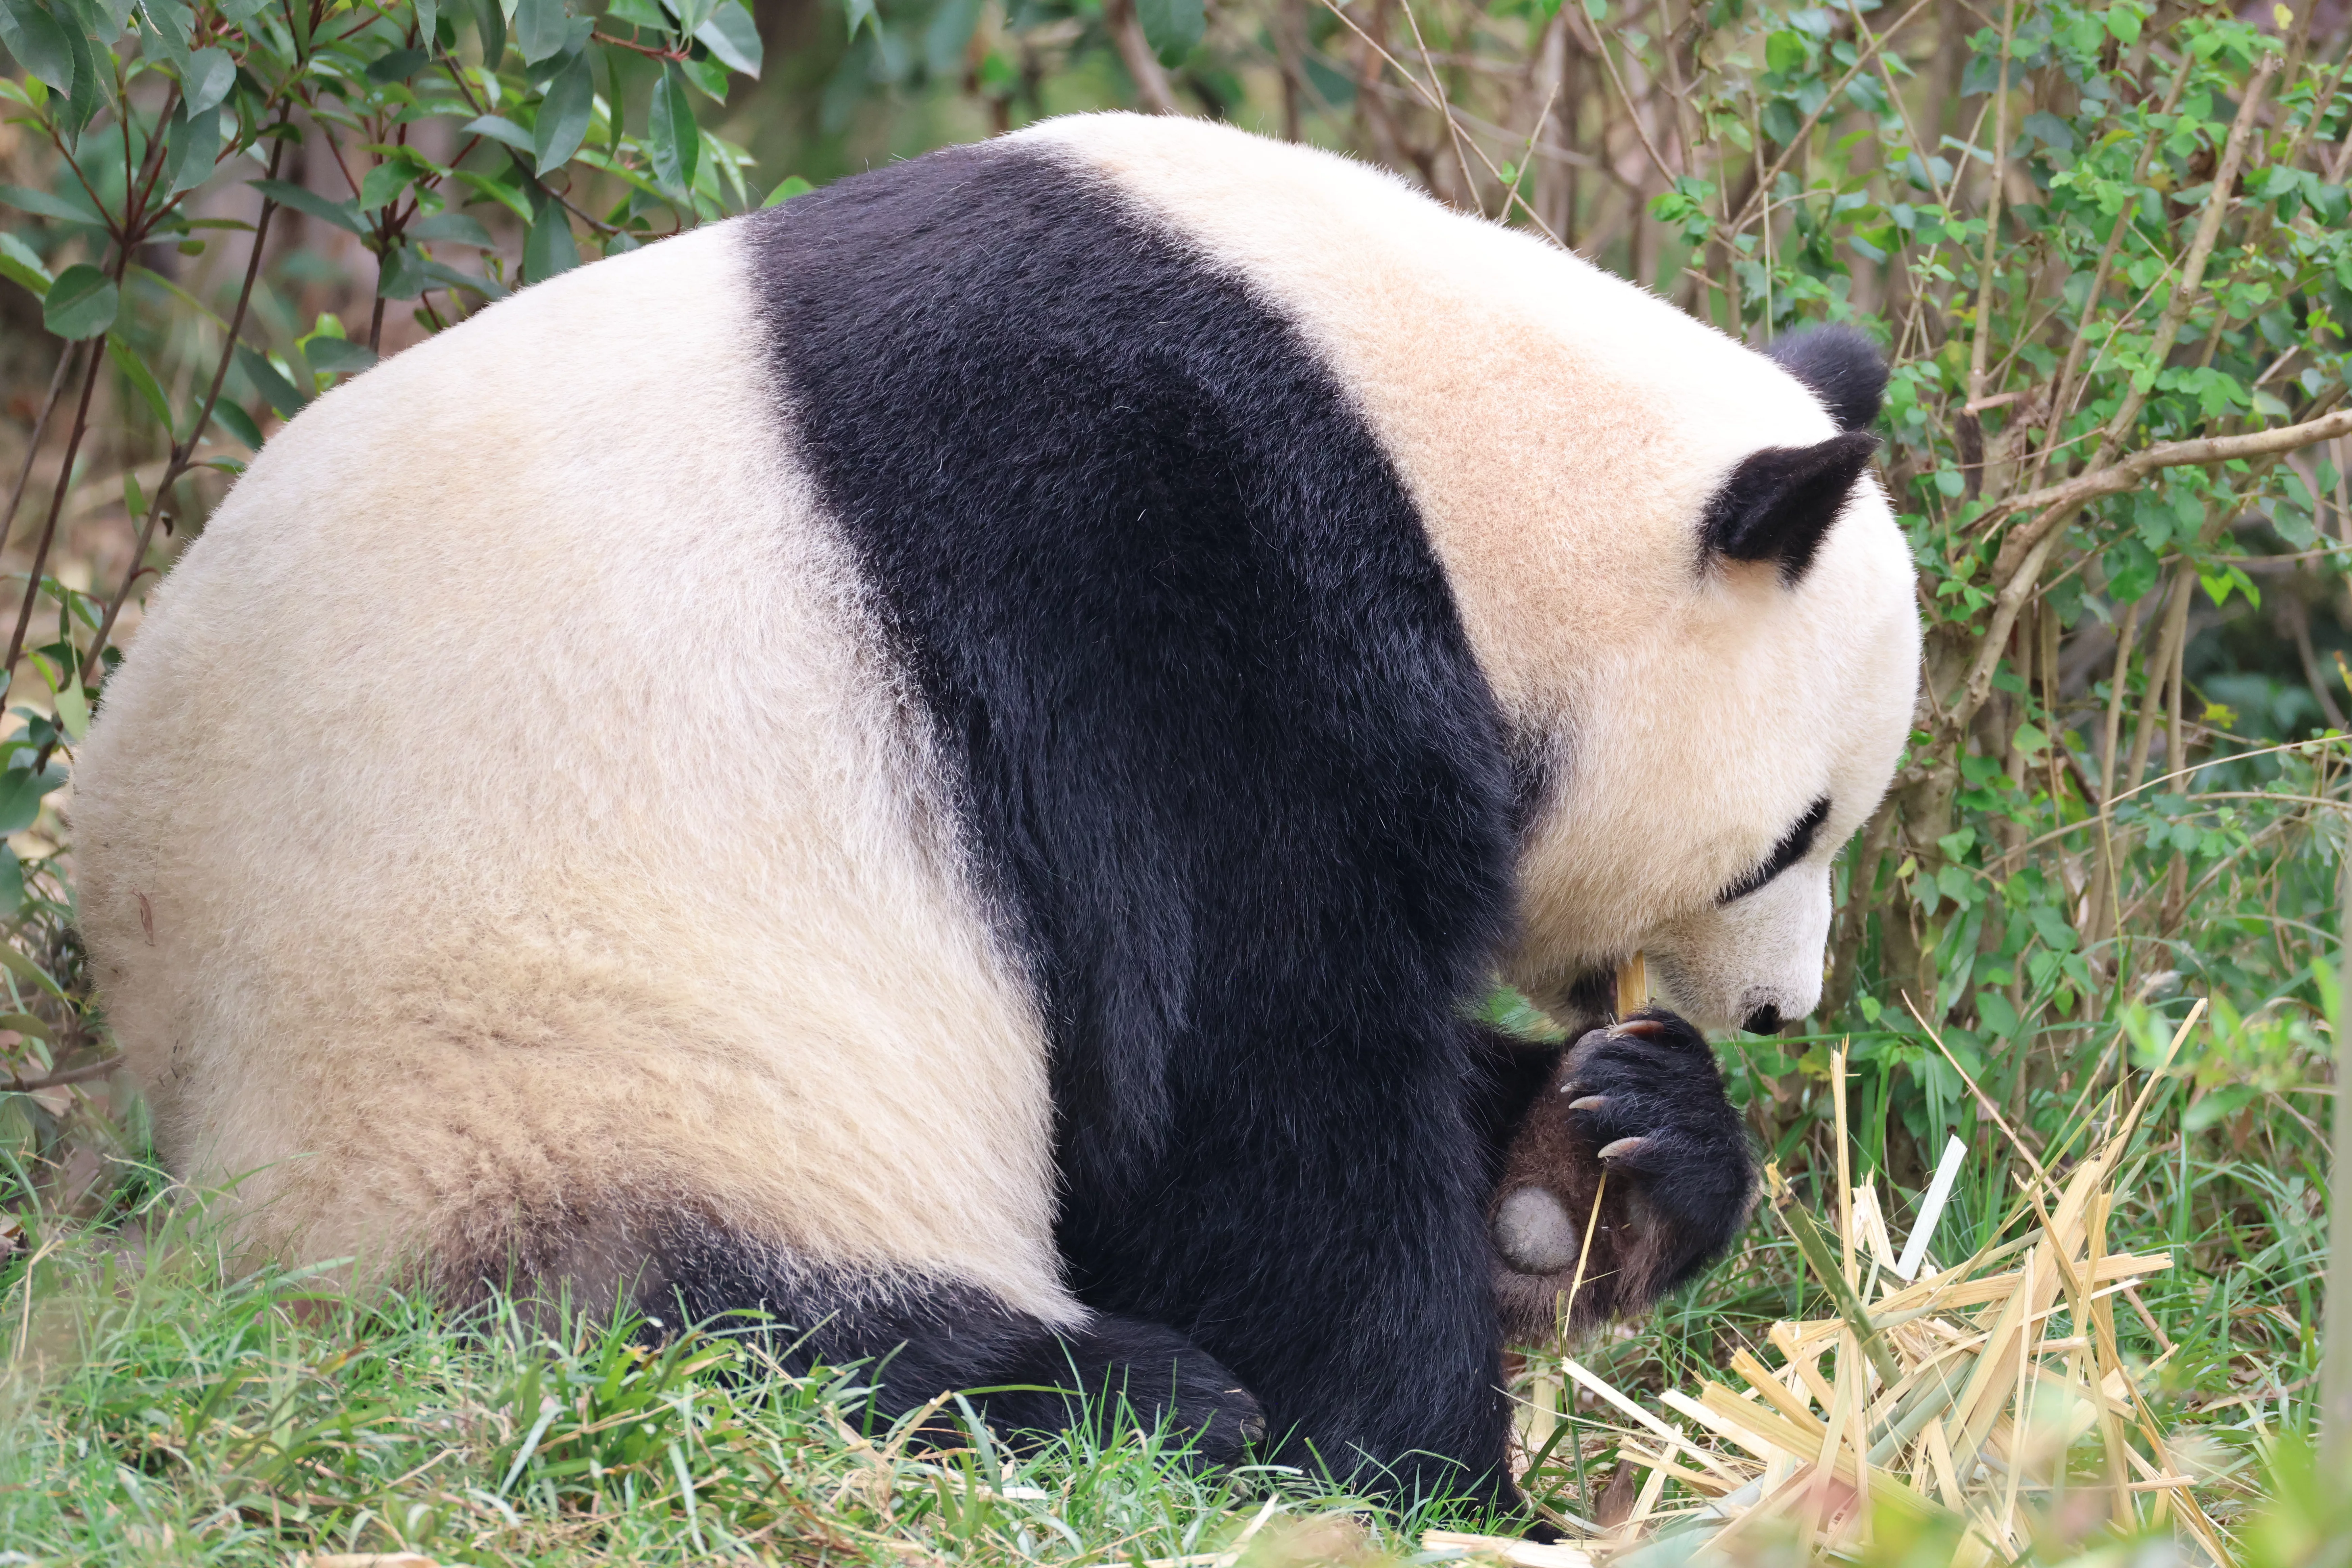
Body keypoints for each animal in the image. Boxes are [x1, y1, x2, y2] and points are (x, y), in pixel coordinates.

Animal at [71, 112, 1920, 1516]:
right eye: (1790, 835)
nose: (1779, 1008)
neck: (1449, 440)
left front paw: (1607, 1148)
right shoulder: (1165, 559)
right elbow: (1228, 1059)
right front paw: (1423, 1464)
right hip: (537, 1063)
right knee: (712, 1309)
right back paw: (1116, 1394)